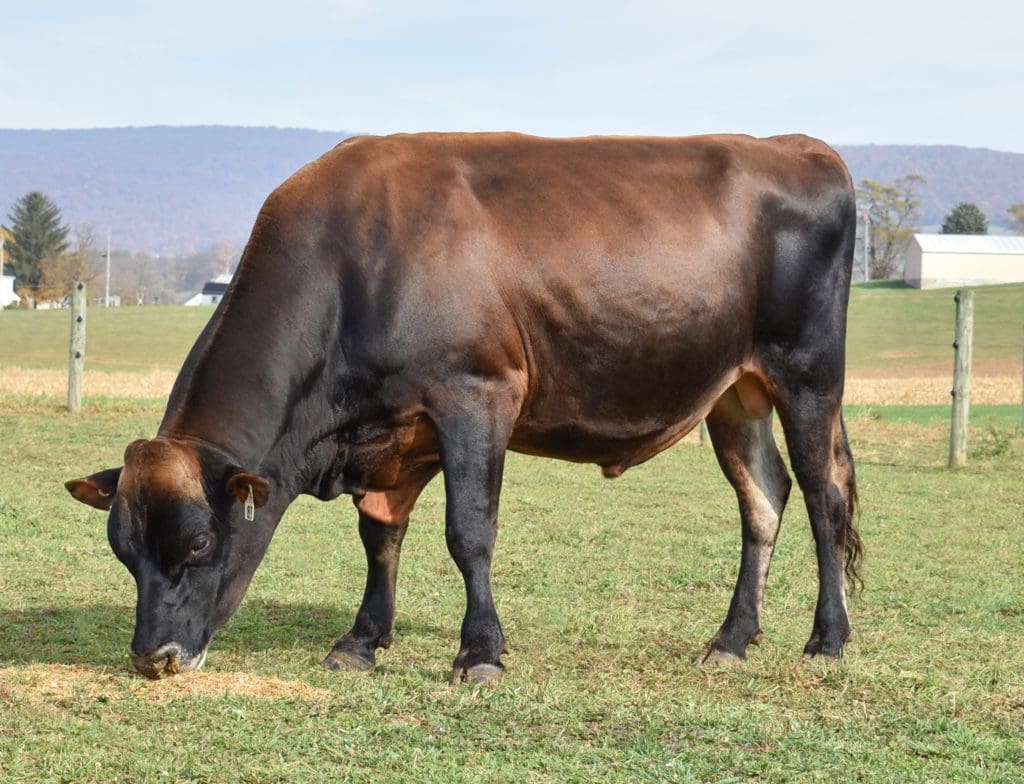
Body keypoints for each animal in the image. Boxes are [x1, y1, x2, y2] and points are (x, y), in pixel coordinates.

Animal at [66, 132, 862, 683]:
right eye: (122, 549)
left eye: (199, 542)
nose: (152, 657)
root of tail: (798, 146)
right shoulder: (397, 434)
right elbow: (381, 536)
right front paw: (361, 641)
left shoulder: (476, 395)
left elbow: (468, 531)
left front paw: (480, 652)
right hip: (735, 392)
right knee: (763, 497)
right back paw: (731, 640)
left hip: (807, 375)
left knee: (821, 496)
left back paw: (826, 640)